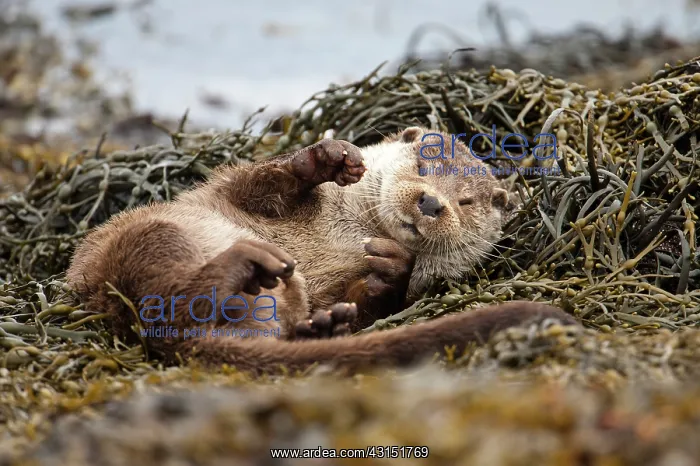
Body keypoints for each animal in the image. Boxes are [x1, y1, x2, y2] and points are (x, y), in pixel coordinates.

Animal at [65, 126, 578, 375]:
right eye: (423, 165)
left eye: (467, 202)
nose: (433, 202)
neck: (346, 227)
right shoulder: (227, 190)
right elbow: (258, 182)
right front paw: (326, 158)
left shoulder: (332, 283)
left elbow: (368, 294)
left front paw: (391, 267)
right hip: (153, 234)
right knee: (168, 305)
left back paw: (320, 326)